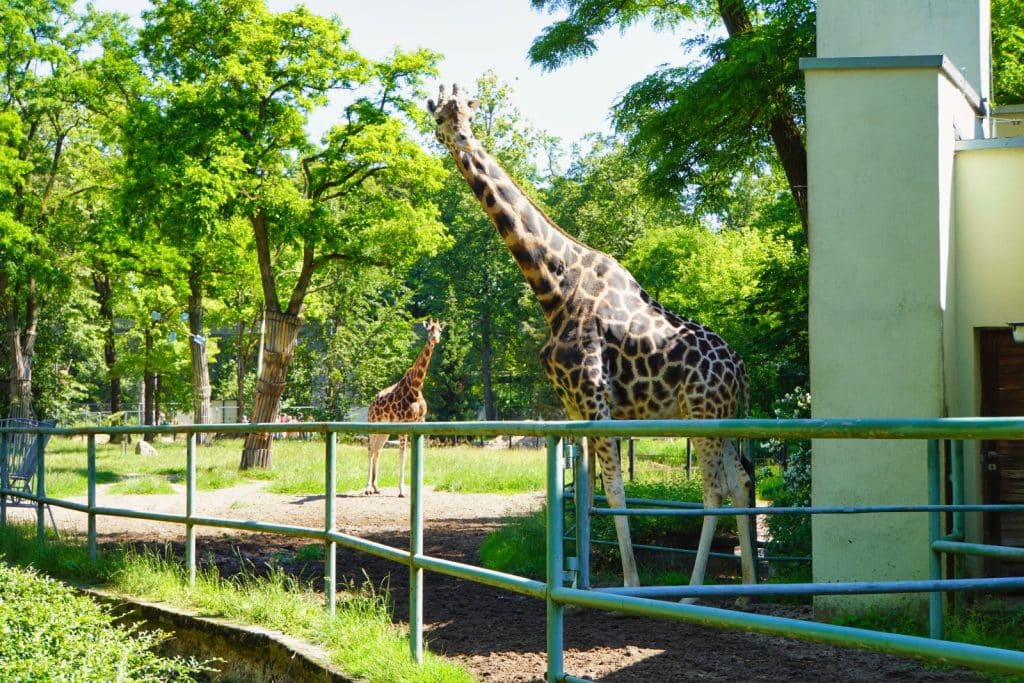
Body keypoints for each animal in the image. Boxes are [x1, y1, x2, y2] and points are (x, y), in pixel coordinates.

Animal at [365, 319, 445, 497]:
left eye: (440, 330)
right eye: (429, 330)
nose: (435, 339)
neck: (415, 387)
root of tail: (371, 404)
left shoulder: (421, 422)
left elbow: (418, 452)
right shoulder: (404, 422)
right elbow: (402, 454)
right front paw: (402, 490)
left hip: (385, 429)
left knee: (378, 450)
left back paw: (375, 487)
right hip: (373, 423)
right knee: (370, 449)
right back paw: (367, 488)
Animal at [428, 84, 757, 594]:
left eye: (467, 113)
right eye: (441, 115)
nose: (462, 138)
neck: (555, 288)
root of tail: (740, 369)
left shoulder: (596, 398)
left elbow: (615, 489)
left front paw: (630, 584)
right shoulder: (572, 405)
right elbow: (581, 488)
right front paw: (578, 582)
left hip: (703, 413)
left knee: (713, 490)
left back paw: (694, 589)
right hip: (717, 417)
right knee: (739, 480)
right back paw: (746, 584)